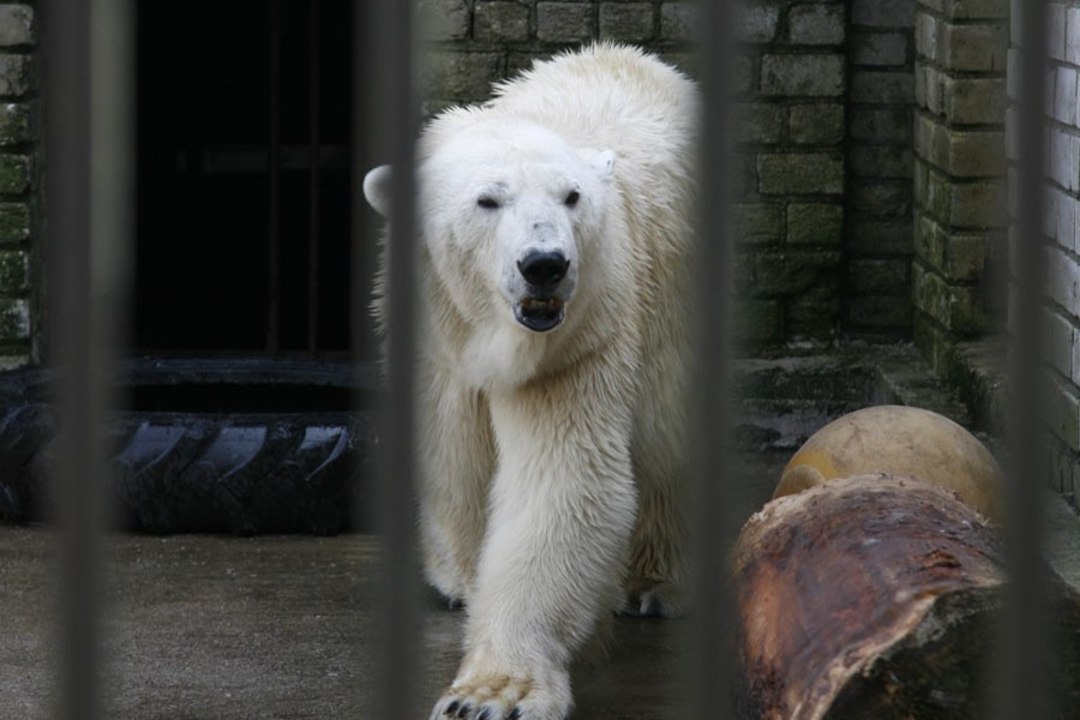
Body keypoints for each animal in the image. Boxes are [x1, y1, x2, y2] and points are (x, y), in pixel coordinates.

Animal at [362, 45, 699, 720]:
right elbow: (456, 458)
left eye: (572, 197)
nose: (545, 265)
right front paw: (466, 584)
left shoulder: (584, 335)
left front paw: (492, 693)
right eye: (487, 201)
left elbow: (564, 480)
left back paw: (654, 581)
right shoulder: (435, 332)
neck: (494, 328)